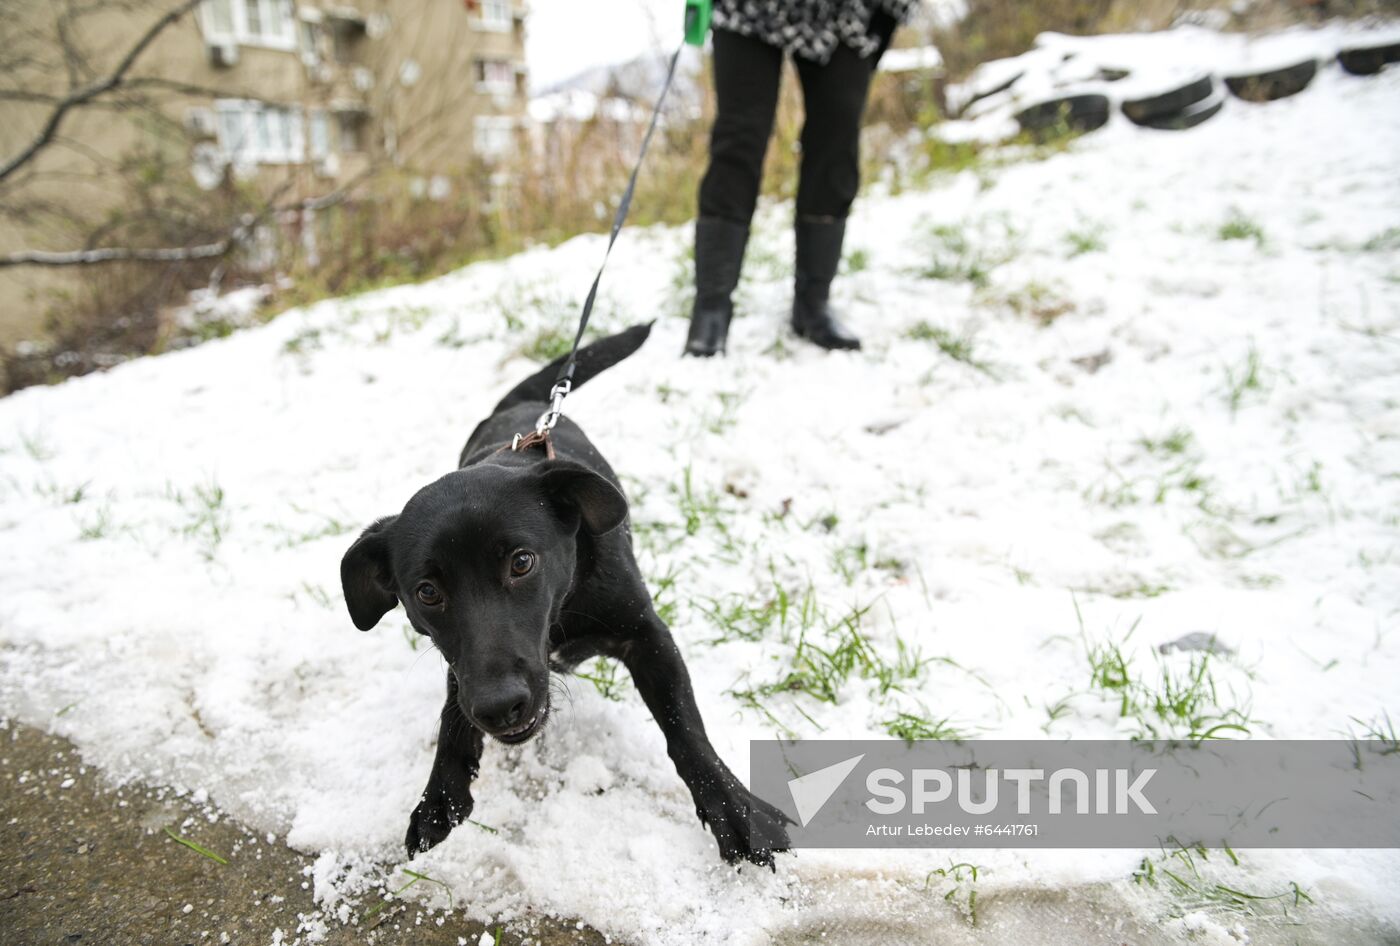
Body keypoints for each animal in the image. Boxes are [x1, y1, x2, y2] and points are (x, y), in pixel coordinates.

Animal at [337, 323, 789, 862]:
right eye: (426, 592)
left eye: (522, 562)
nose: (499, 706)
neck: (563, 607)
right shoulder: (461, 663)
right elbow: (453, 710)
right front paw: (440, 793)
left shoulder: (647, 634)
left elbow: (684, 727)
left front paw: (736, 810)